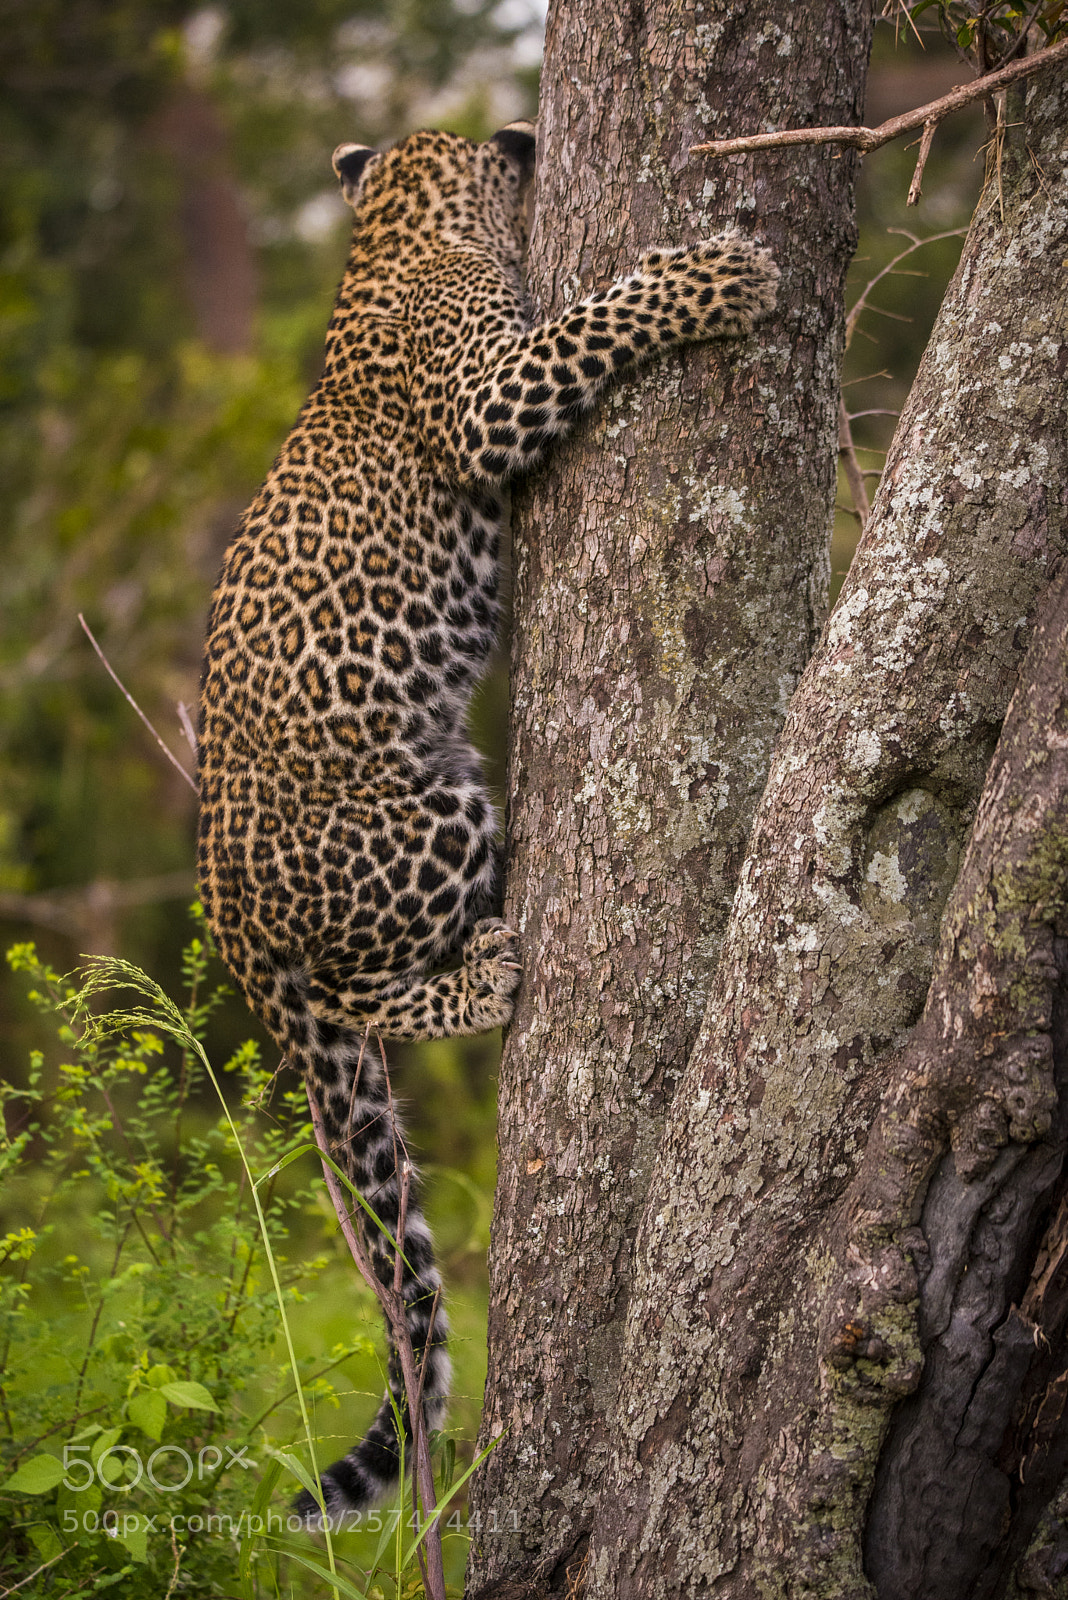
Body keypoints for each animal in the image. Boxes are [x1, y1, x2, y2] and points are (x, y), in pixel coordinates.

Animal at [196, 119, 778, 1527]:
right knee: (353, 988)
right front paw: (721, 276)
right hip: (436, 805)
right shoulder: (490, 394)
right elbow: (602, 317)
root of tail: (228, 918)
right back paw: (491, 975)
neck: (397, 222)